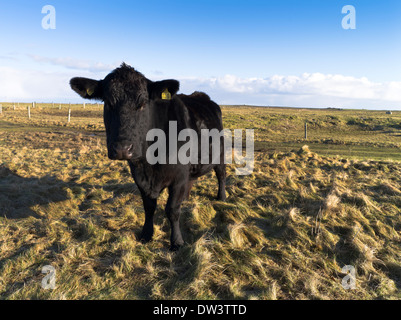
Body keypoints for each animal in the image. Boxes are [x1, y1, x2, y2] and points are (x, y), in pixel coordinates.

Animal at [69, 63, 225, 250]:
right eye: (108, 102)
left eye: (143, 103)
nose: (122, 149)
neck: (151, 162)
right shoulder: (139, 176)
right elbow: (149, 207)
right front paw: (146, 234)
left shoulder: (178, 176)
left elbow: (172, 209)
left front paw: (176, 242)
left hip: (220, 154)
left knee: (221, 175)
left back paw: (221, 197)